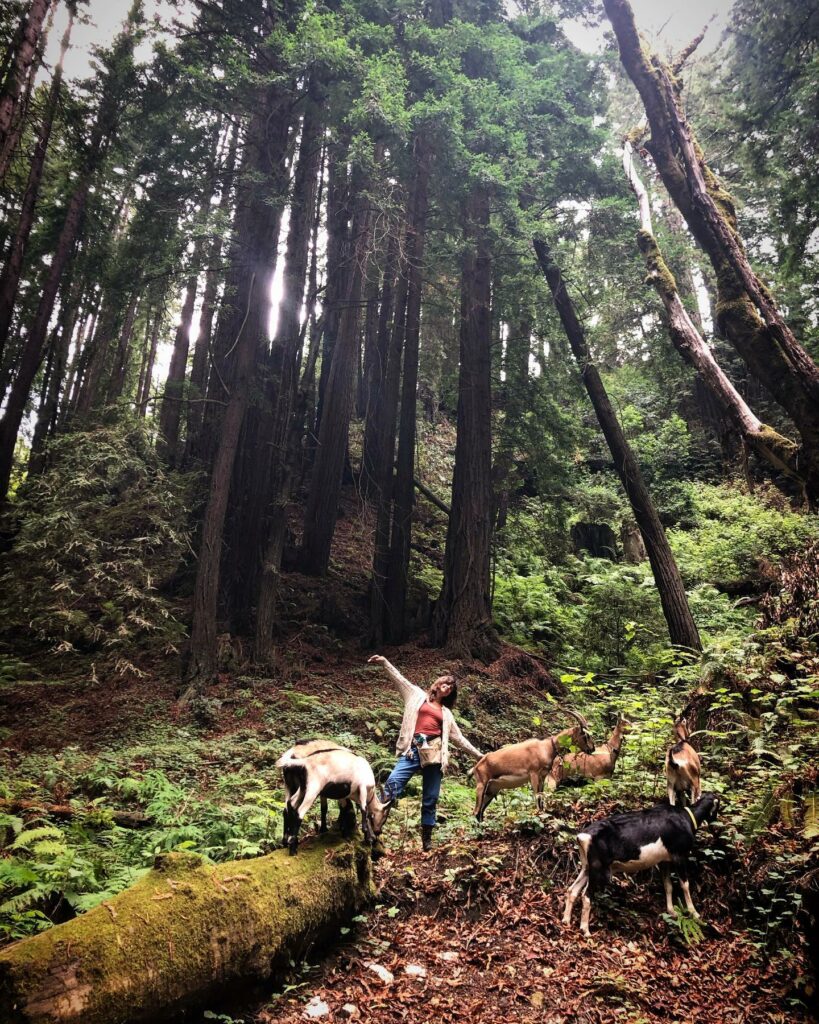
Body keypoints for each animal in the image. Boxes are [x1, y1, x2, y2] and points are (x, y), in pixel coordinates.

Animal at [565, 790, 716, 937]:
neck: (687, 817)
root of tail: (583, 837)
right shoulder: (680, 856)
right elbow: (685, 885)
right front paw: (694, 913)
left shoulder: (664, 860)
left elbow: (668, 885)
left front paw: (671, 911)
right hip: (600, 870)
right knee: (586, 896)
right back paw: (585, 930)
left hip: (587, 867)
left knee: (572, 890)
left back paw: (566, 920)